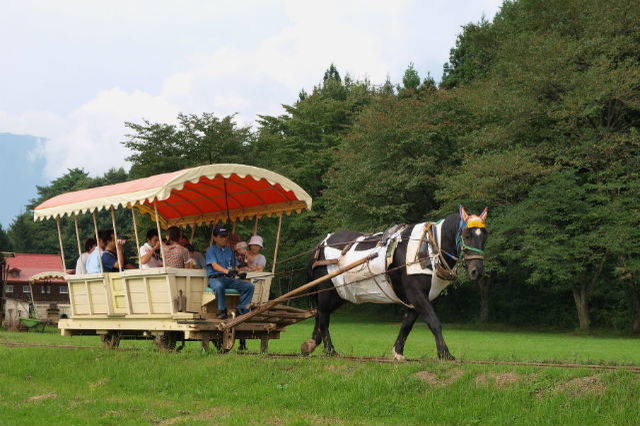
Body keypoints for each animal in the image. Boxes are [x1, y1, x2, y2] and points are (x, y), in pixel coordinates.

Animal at [302, 206, 488, 360]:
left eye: (484, 237)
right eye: (467, 236)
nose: (477, 271)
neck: (427, 249)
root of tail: (320, 245)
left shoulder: (417, 298)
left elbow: (407, 324)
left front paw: (398, 352)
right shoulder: (416, 294)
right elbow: (433, 322)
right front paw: (445, 354)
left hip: (340, 293)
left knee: (320, 314)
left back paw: (312, 342)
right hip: (326, 290)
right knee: (323, 317)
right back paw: (330, 350)